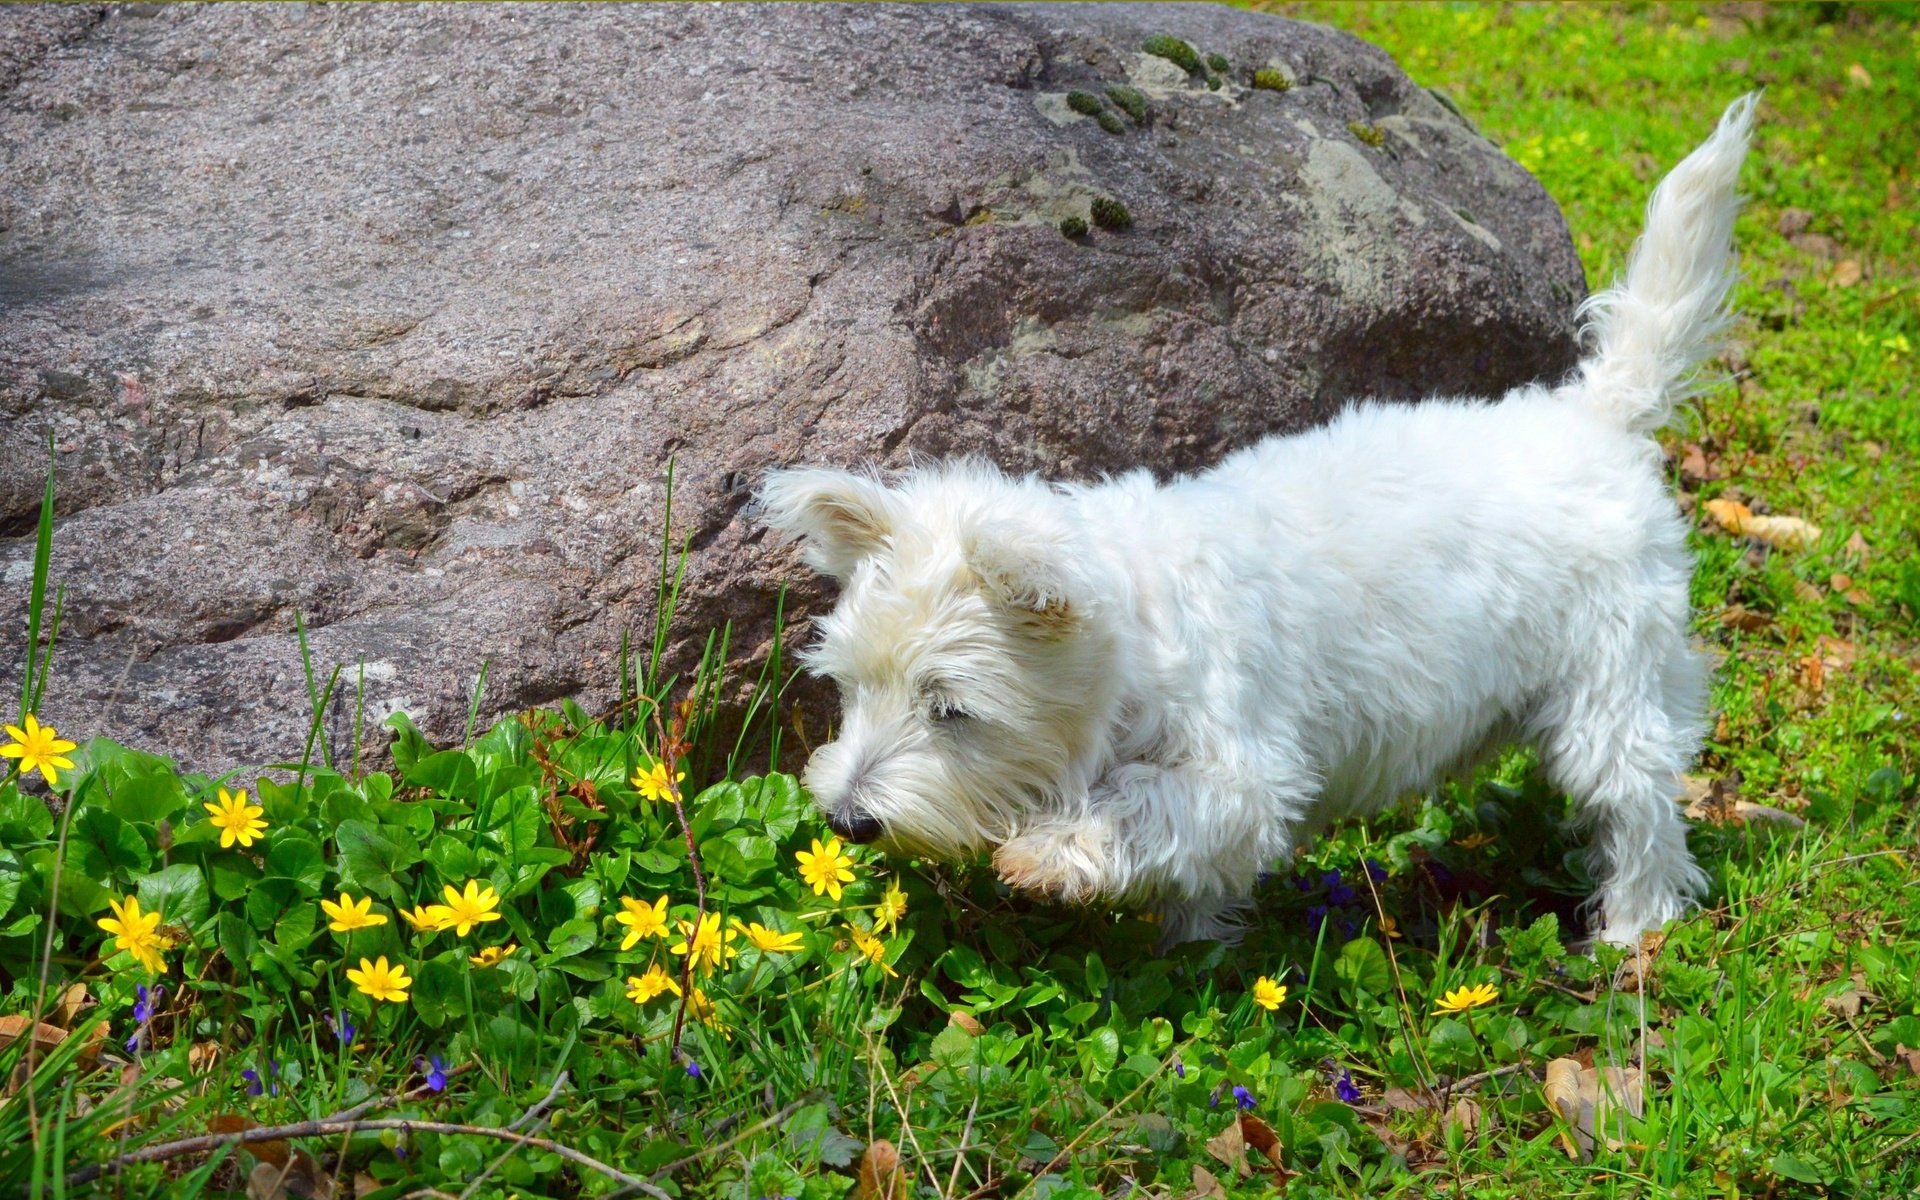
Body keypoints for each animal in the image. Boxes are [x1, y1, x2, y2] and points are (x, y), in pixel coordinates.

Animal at [760, 96, 1758, 944]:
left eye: (952, 709)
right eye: (849, 687)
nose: (847, 820)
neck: (1136, 645)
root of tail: (1596, 413)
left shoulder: (1245, 772)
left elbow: (1145, 806)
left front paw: (1048, 852)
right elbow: (1193, 883)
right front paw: (1193, 945)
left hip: (1612, 689)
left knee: (1641, 811)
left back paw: (1631, 934)